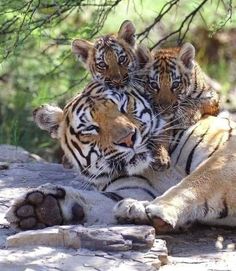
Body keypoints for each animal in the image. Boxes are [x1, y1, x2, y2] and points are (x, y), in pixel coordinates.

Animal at [5, 80, 236, 234]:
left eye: (124, 107)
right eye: (91, 128)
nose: (128, 139)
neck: (155, 167)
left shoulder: (226, 153)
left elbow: (197, 181)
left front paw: (157, 208)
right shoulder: (132, 189)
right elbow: (100, 200)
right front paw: (39, 207)